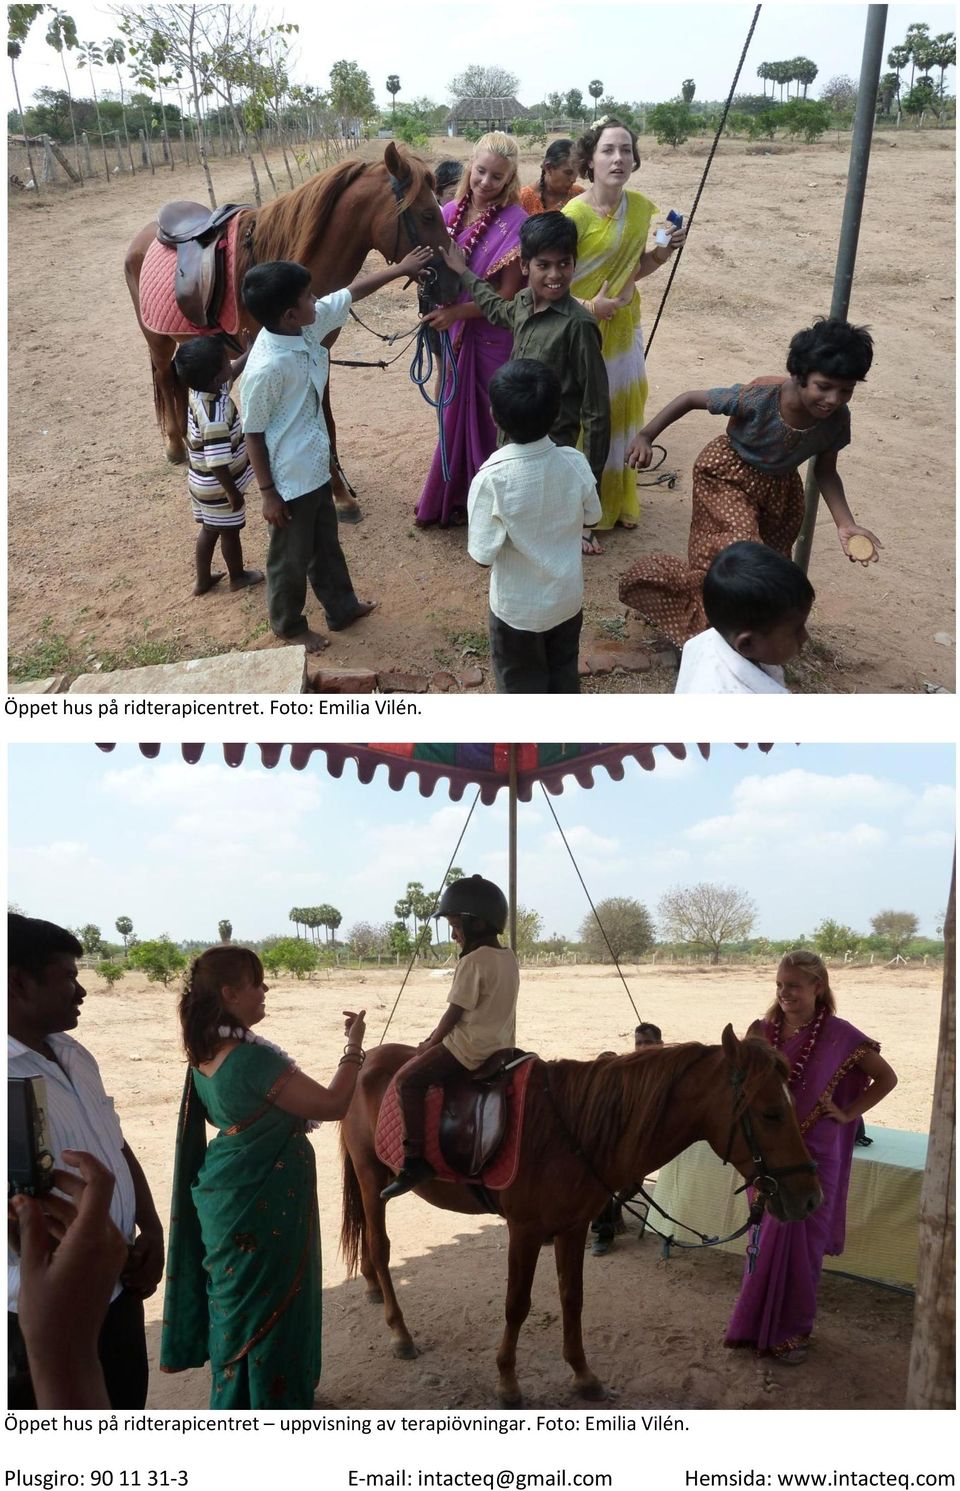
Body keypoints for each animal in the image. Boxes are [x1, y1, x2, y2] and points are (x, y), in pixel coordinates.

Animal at [122, 138, 459, 495]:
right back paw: (175, 445)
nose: (454, 281)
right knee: (164, 377)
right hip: (157, 340)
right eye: (427, 214)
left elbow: (325, 419)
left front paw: (339, 491)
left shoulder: (321, 352)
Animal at [341, 1031, 822, 1401]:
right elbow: (517, 1304)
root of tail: (368, 1062)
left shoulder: (571, 1228)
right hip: (370, 1177)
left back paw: (373, 1290)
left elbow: (573, 1298)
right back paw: (400, 1332)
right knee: (380, 1248)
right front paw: (508, 1382)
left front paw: (583, 1375)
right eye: (771, 1113)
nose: (811, 1198)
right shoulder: (525, 1230)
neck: (571, 1128)